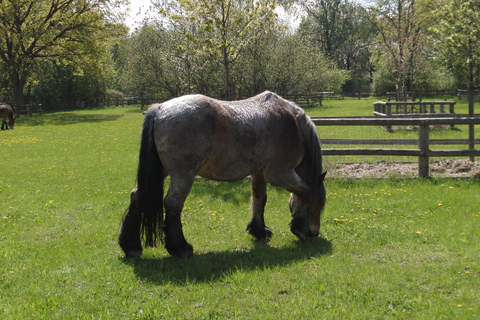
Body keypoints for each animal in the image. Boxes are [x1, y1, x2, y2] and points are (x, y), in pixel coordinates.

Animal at [118, 90, 326, 258]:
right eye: (320, 203)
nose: (314, 231)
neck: (292, 123)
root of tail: (160, 108)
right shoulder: (280, 173)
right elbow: (305, 191)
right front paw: (299, 227)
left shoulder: (259, 173)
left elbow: (260, 199)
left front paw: (259, 230)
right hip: (182, 174)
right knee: (173, 204)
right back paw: (180, 248)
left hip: (162, 172)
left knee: (137, 196)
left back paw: (131, 246)